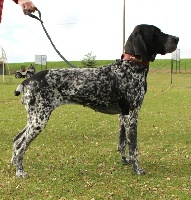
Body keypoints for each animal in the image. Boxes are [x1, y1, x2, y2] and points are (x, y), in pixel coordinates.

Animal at [12, 24, 179, 177]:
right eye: (156, 32)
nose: (177, 38)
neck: (130, 67)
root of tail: (27, 80)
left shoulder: (122, 116)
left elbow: (122, 142)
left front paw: (125, 161)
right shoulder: (131, 116)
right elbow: (133, 147)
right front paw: (137, 169)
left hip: (34, 119)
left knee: (16, 140)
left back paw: (14, 164)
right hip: (38, 120)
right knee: (21, 146)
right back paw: (20, 172)